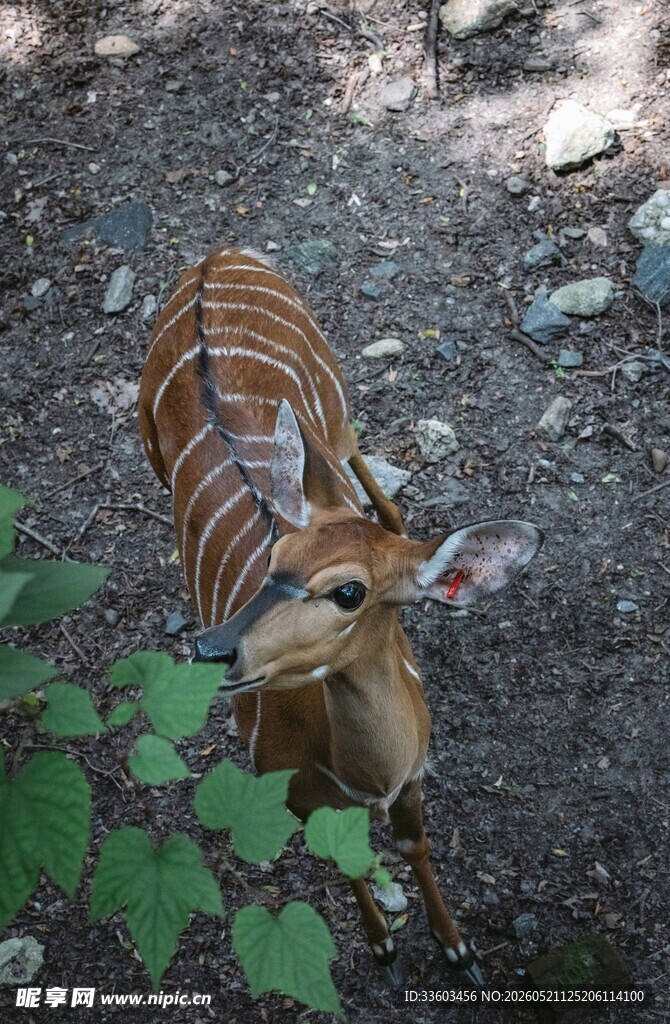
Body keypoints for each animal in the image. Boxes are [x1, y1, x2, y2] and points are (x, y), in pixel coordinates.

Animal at [138, 245, 543, 989]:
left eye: (350, 593)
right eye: (273, 559)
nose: (213, 649)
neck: (368, 779)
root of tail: (217, 256)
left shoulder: (415, 776)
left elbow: (414, 845)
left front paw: (459, 951)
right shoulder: (294, 794)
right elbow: (339, 857)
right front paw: (383, 946)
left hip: (333, 397)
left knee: (352, 452)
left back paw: (393, 518)